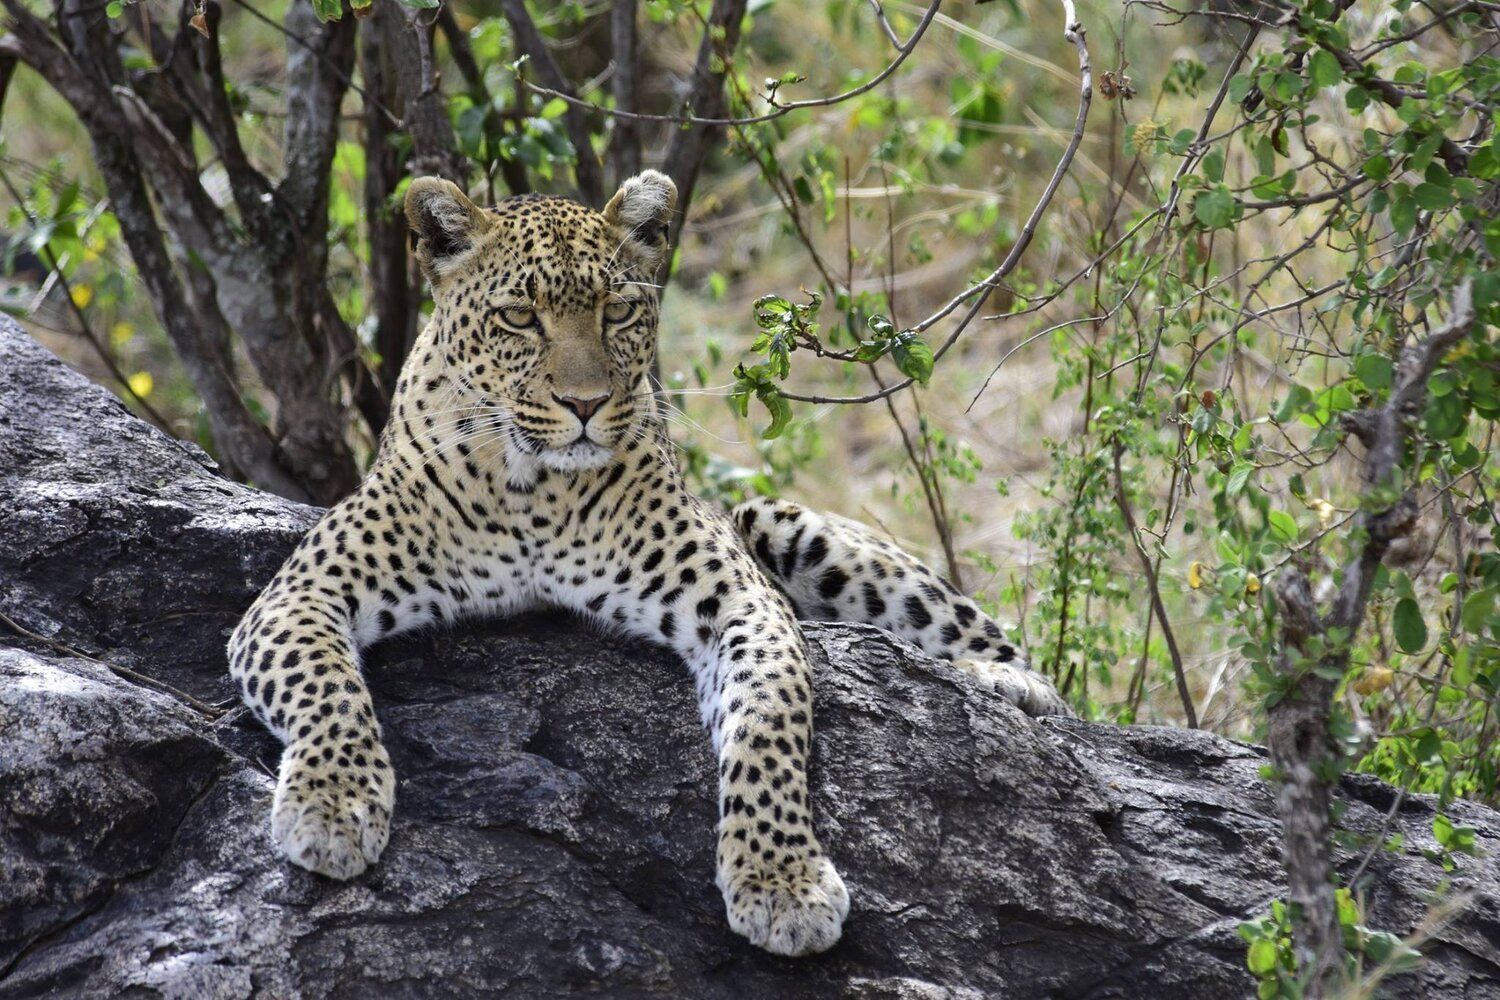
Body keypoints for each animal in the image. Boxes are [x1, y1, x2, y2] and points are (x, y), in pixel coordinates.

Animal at [227, 170, 1068, 958]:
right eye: (520, 317)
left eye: (618, 312)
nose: (585, 405)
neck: (532, 490)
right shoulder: (303, 590)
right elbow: (327, 687)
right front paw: (331, 805)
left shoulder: (741, 599)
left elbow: (767, 723)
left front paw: (781, 879)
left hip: (780, 520)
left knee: (995, 644)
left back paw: (1007, 684)